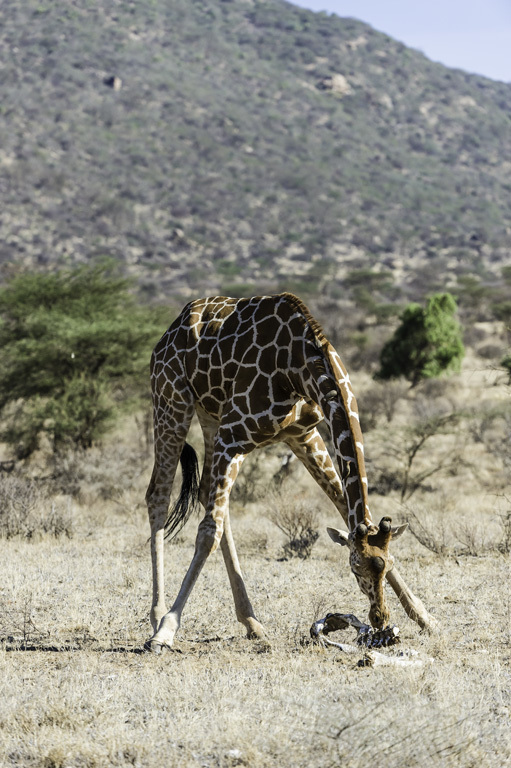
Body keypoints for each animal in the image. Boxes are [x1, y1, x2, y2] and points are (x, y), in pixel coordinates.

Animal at [145, 292, 436, 652]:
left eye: (388, 565)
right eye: (354, 568)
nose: (379, 618)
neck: (298, 365)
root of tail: (168, 333)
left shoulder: (303, 433)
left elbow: (344, 506)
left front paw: (425, 617)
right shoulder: (233, 436)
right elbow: (207, 533)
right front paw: (167, 630)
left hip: (210, 415)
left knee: (205, 493)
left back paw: (252, 622)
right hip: (172, 402)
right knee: (158, 495)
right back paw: (157, 616)